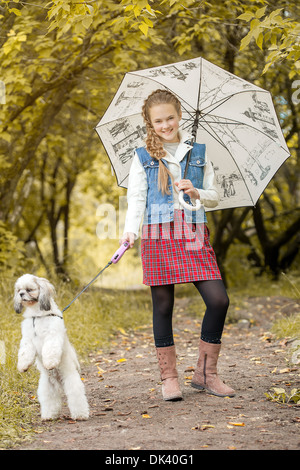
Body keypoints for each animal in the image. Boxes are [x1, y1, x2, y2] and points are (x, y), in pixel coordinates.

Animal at [14, 274, 89, 420]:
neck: (37, 316)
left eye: (29, 289)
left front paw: (50, 363)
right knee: (50, 401)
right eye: (19, 290)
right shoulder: (28, 340)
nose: (21, 294)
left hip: (71, 381)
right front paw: (23, 366)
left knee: (76, 397)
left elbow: (50, 349)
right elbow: (25, 352)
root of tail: (59, 382)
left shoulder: (52, 336)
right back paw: (49, 415)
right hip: (47, 387)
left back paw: (80, 415)